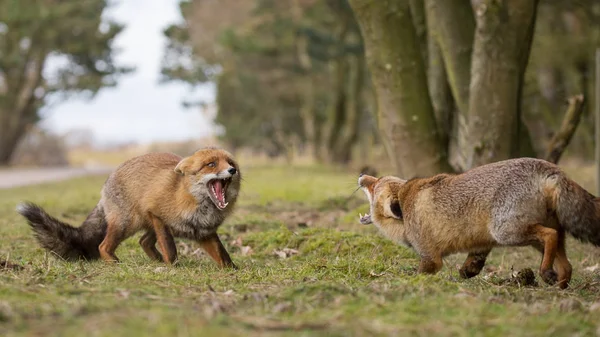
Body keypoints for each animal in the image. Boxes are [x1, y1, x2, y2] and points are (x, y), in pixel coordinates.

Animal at [17, 147, 241, 268]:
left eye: (230, 162)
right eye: (211, 164)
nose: (232, 170)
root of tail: (107, 182)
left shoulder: (205, 231)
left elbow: (223, 255)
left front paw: (232, 271)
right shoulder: (157, 214)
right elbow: (170, 248)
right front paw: (173, 267)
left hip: (144, 225)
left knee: (143, 241)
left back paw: (156, 261)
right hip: (127, 224)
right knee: (103, 246)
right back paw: (115, 263)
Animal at [358, 156, 600, 288]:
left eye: (375, 185)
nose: (361, 176)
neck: (407, 202)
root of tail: (550, 168)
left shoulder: (429, 257)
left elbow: (422, 273)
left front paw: (411, 283)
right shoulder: (481, 244)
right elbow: (469, 268)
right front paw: (464, 276)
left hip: (508, 232)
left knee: (550, 235)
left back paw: (546, 273)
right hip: (532, 235)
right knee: (566, 264)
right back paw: (558, 287)